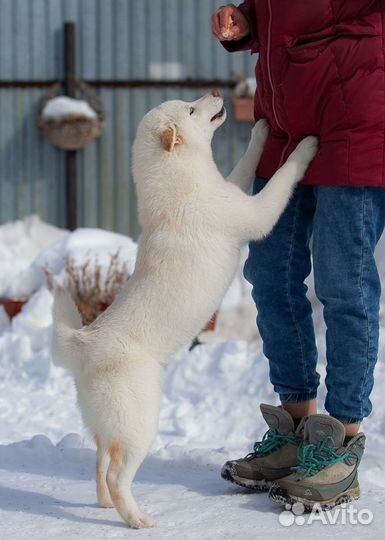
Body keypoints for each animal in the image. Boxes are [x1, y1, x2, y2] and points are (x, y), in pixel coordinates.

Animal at [51, 92, 318, 528]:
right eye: (190, 110)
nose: (216, 94)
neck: (181, 185)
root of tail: (84, 343)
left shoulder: (234, 188)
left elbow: (246, 164)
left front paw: (261, 132)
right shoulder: (255, 213)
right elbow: (283, 177)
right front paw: (307, 147)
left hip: (109, 425)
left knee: (100, 460)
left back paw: (106, 504)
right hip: (140, 423)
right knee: (116, 472)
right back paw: (137, 519)